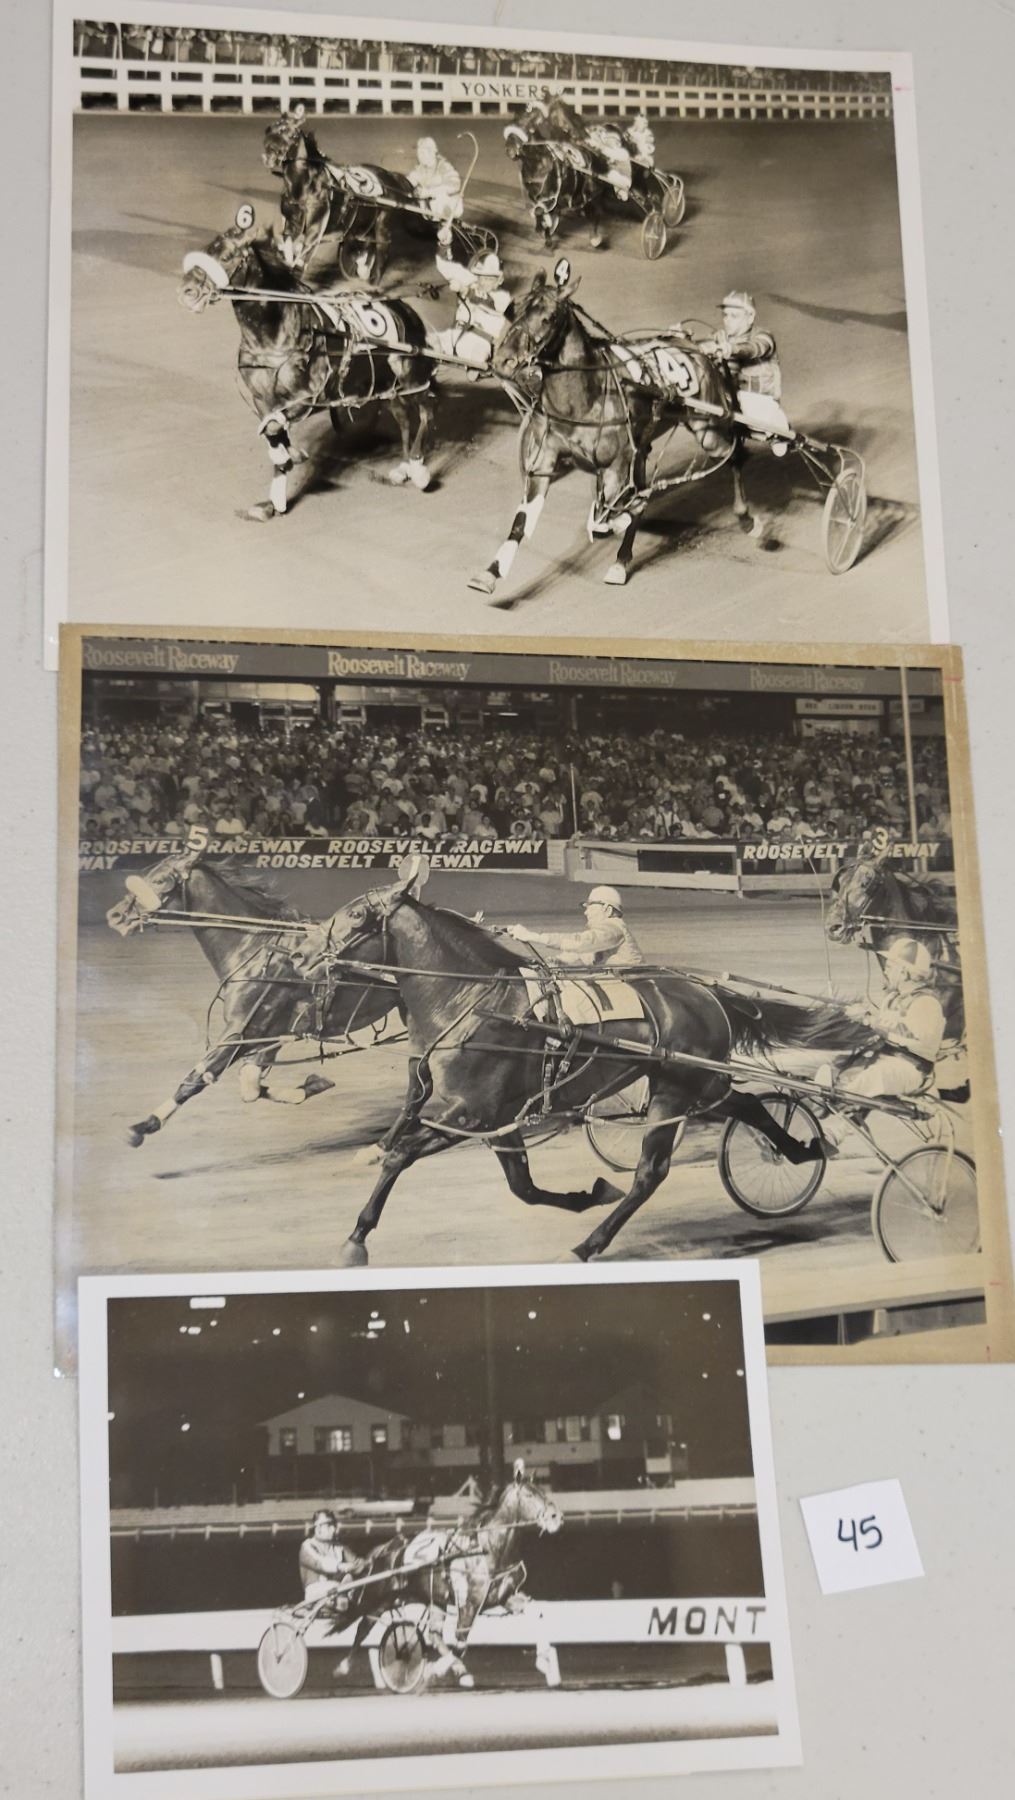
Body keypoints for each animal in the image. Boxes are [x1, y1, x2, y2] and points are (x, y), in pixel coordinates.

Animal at [106, 848, 399, 1147]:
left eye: (159, 880)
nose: (115, 915)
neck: (256, 947)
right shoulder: (269, 1034)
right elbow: (251, 1087)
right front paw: (312, 1085)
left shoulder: (242, 1030)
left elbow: (198, 1077)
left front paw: (143, 1126)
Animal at [178, 207, 438, 518]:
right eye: (207, 249)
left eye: (228, 256)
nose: (187, 291)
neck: (275, 335)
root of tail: (408, 311)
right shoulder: (262, 399)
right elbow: (272, 431)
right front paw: (275, 496)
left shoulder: (309, 396)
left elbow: (275, 428)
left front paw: (292, 456)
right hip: (386, 386)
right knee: (403, 417)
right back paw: (403, 468)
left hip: (410, 376)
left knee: (425, 410)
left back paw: (418, 467)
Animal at [317, 858, 875, 1266]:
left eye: (354, 915)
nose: (309, 955)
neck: (474, 999)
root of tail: (707, 992)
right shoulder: (497, 1119)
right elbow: (522, 1187)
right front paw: (591, 1192)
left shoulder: (466, 1114)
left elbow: (399, 1156)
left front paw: (356, 1238)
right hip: (696, 1084)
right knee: (748, 1105)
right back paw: (799, 1149)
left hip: (677, 1088)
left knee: (652, 1171)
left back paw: (590, 1244)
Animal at [333, 1461, 562, 1688]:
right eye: (529, 1495)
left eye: (543, 1492)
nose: (556, 1517)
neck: (487, 1549)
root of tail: (386, 1548)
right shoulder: (469, 1603)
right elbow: (460, 1643)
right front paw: (438, 1670)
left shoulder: (504, 1596)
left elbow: (538, 1614)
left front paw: (544, 1660)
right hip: (378, 1597)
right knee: (364, 1625)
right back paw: (343, 1666)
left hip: (435, 1601)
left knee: (433, 1635)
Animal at [468, 263, 757, 597]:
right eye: (512, 309)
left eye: (548, 317)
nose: (504, 360)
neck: (583, 398)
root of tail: (700, 350)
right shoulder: (543, 462)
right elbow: (521, 522)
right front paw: (491, 573)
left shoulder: (616, 466)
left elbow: (618, 510)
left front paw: (612, 520)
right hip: (645, 445)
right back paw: (621, 559)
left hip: (708, 429)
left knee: (735, 453)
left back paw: (746, 518)